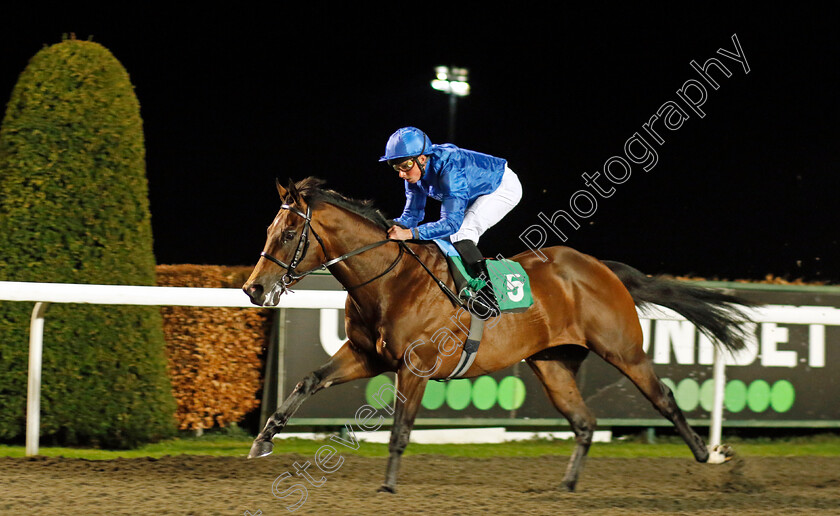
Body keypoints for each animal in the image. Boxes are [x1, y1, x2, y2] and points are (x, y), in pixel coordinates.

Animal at [241, 179, 748, 494]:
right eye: (269, 228)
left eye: (289, 231)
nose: (253, 289)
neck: (391, 281)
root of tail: (602, 269)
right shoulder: (366, 356)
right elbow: (308, 380)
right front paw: (263, 439)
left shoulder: (415, 367)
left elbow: (401, 429)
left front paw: (387, 485)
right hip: (552, 363)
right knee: (584, 422)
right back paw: (566, 486)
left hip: (623, 349)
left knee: (663, 398)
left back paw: (711, 456)